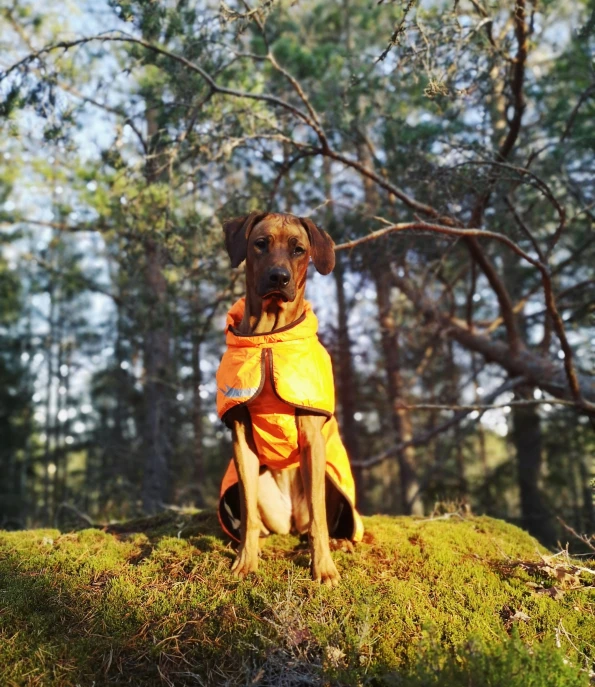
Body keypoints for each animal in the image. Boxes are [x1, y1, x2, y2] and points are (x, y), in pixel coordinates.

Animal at [215, 214, 364, 584]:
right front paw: (245, 560)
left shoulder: (311, 436)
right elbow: (248, 516)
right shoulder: (241, 438)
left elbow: (319, 520)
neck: (270, 337)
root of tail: (292, 520)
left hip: (329, 481)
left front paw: (323, 567)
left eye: (299, 250)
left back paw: (339, 543)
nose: (278, 277)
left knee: (316, 521)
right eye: (260, 243)